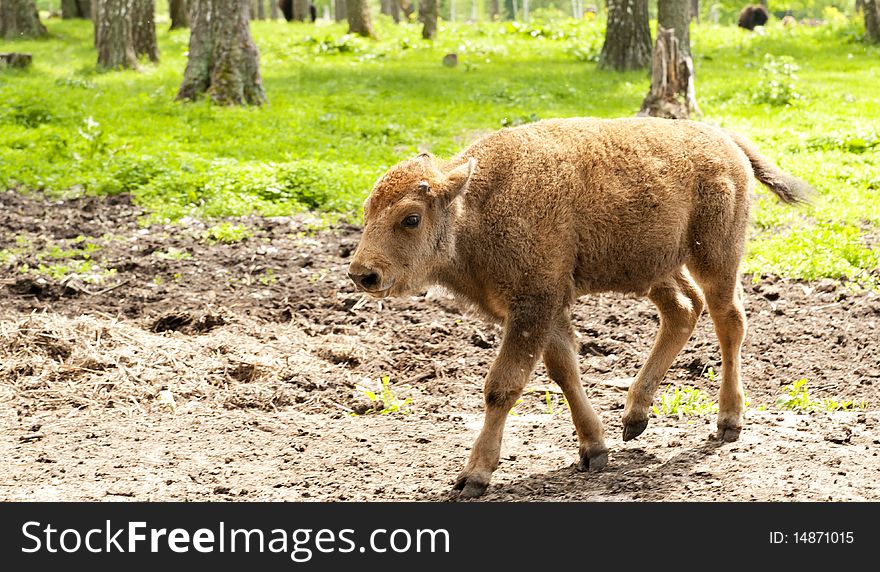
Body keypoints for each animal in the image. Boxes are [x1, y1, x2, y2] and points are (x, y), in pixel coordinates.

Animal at [348, 118, 812, 498]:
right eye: (367, 209)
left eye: (411, 218)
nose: (362, 274)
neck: (476, 206)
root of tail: (724, 138)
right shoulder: (547, 310)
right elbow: (564, 371)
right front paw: (595, 449)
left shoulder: (532, 307)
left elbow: (502, 387)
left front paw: (473, 478)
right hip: (657, 268)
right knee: (683, 309)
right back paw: (634, 418)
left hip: (715, 256)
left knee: (728, 320)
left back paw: (728, 421)